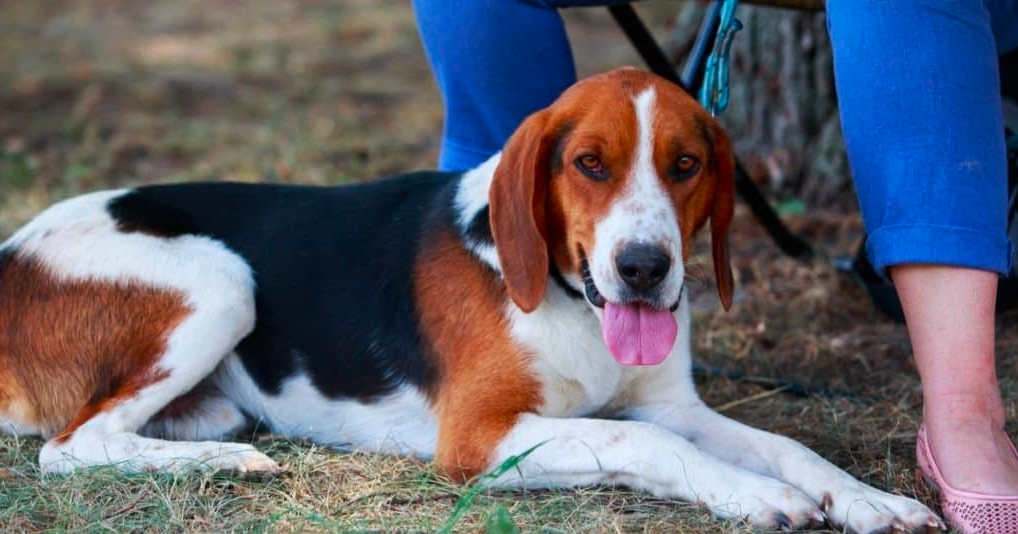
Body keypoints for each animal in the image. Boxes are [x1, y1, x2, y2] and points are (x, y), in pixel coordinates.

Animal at [0, 69, 936, 528]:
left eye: (686, 165)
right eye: (589, 164)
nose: (643, 269)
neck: (568, 300)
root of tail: (11, 255)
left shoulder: (671, 405)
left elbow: (786, 447)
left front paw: (867, 499)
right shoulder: (480, 438)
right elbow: (653, 447)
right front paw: (759, 499)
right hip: (224, 282)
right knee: (70, 447)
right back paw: (229, 463)